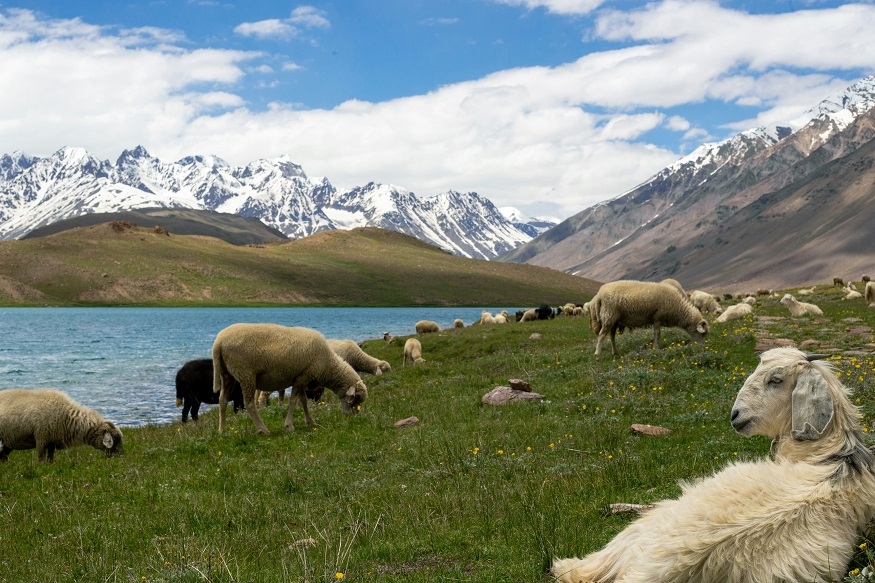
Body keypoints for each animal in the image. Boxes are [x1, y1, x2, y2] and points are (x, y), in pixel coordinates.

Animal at [213, 324, 370, 434]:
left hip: (227, 374)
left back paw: (222, 430)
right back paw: (263, 430)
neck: (328, 365)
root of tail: (218, 341)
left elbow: (303, 400)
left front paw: (311, 422)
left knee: (222, 400)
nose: (353, 417)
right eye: (356, 398)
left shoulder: (301, 378)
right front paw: (289, 426)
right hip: (246, 374)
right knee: (249, 403)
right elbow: (294, 401)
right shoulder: (303, 377)